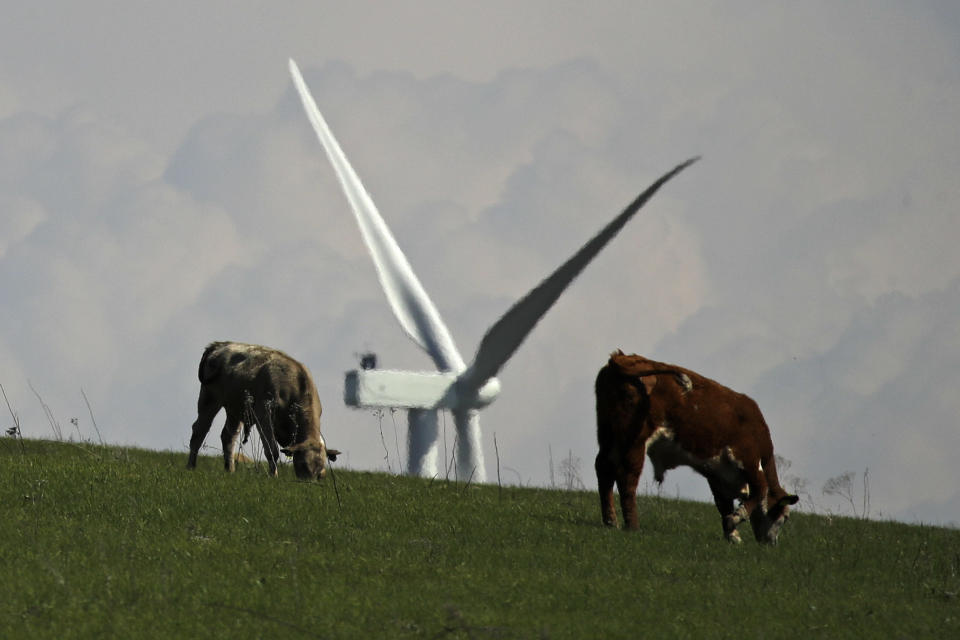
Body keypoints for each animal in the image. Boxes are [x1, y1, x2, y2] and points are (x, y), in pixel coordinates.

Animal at [186, 342, 340, 478]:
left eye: (321, 471)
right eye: (302, 465)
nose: (308, 482)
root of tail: (219, 344)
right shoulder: (264, 415)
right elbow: (272, 450)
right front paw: (273, 475)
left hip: (235, 409)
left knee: (228, 436)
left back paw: (230, 470)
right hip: (209, 399)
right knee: (199, 430)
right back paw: (191, 467)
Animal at [596, 350, 800, 544]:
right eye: (785, 518)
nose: (772, 543)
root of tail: (621, 358)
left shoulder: (718, 474)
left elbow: (723, 504)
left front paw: (732, 534)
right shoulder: (748, 459)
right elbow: (760, 489)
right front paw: (736, 519)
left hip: (609, 435)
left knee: (604, 469)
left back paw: (610, 521)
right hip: (635, 440)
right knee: (627, 478)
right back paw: (632, 526)